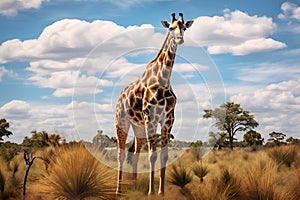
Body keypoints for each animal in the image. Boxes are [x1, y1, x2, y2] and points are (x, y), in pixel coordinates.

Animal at [115, 12, 192, 195]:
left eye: (184, 28)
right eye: (170, 28)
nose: (180, 39)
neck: (163, 79)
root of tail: (120, 97)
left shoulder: (168, 120)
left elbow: (164, 156)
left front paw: (161, 192)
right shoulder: (151, 119)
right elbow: (152, 155)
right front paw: (151, 192)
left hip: (138, 128)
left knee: (135, 154)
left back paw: (134, 186)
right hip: (121, 122)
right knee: (121, 154)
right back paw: (118, 190)